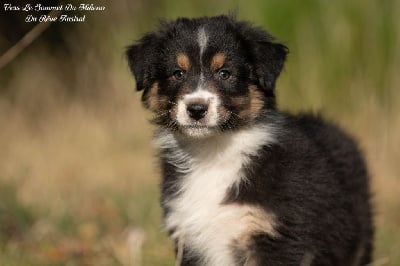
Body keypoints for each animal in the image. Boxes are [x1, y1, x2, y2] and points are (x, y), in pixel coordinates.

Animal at [125, 16, 372, 266]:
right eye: (178, 73)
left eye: (224, 73)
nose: (196, 109)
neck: (213, 151)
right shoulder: (188, 236)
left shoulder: (276, 235)